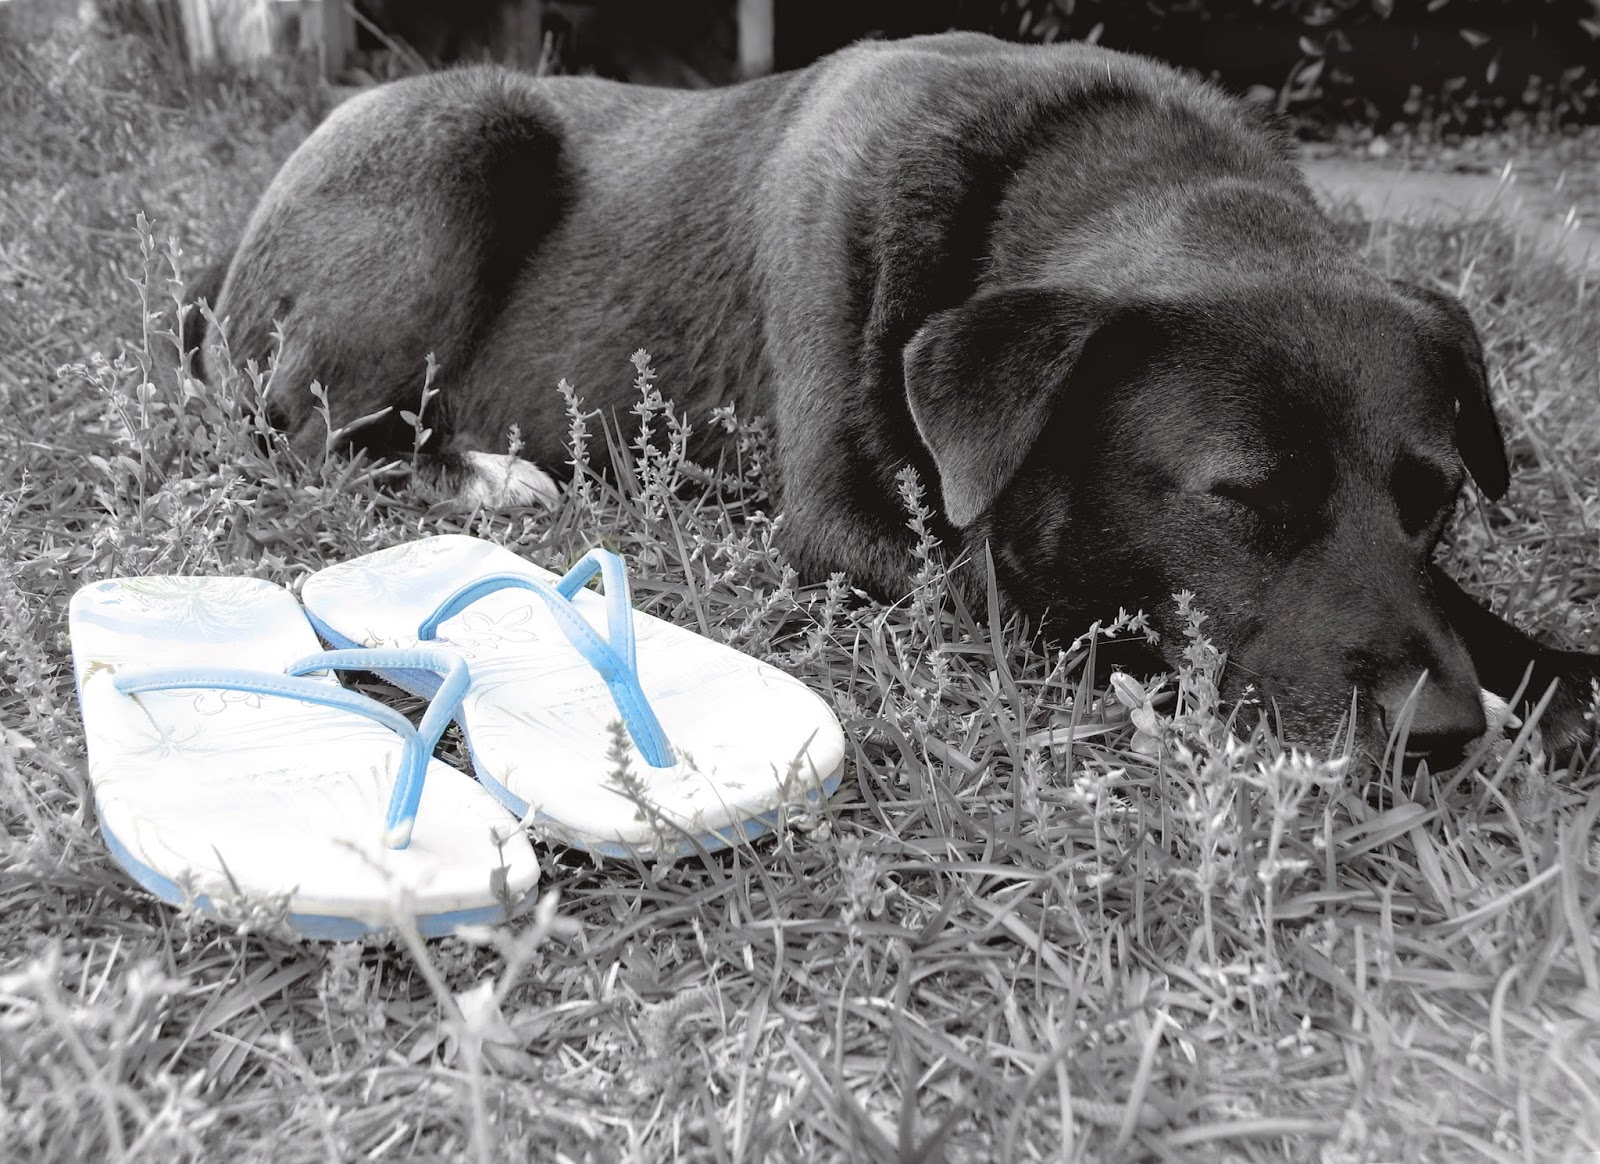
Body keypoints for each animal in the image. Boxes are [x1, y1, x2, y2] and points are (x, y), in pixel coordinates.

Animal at [191, 31, 1600, 764]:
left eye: (1437, 502)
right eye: (1242, 500)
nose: (1440, 729)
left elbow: (1466, 613)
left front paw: (1552, 677)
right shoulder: (847, 529)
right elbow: (1057, 609)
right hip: (463, 143)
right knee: (297, 424)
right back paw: (484, 473)